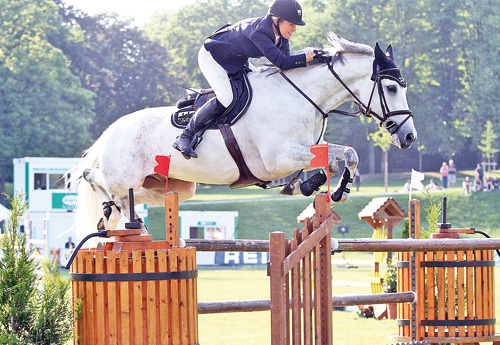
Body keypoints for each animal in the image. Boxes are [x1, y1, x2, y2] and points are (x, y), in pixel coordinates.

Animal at [68, 30, 416, 243]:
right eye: (391, 88)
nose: (410, 137)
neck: (300, 96)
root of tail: (111, 131)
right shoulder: (277, 159)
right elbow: (338, 157)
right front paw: (329, 188)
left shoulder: (304, 148)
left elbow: (342, 156)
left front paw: (314, 186)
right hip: (124, 176)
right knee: (94, 178)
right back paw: (114, 211)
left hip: (172, 187)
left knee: (131, 198)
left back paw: (118, 215)